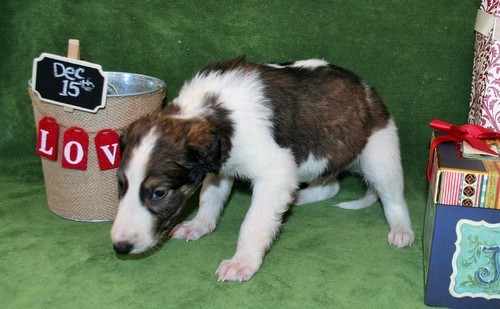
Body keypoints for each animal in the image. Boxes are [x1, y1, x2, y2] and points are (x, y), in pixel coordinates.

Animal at [111, 57, 416, 282]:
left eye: (159, 193)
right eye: (121, 185)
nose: (119, 246)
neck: (215, 112)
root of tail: (369, 91)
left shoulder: (275, 173)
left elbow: (254, 223)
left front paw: (242, 262)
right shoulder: (220, 167)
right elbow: (210, 198)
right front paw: (198, 225)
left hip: (380, 155)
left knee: (394, 199)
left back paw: (402, 230)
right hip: (322, 156)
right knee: (331, 186)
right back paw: (300, 197)